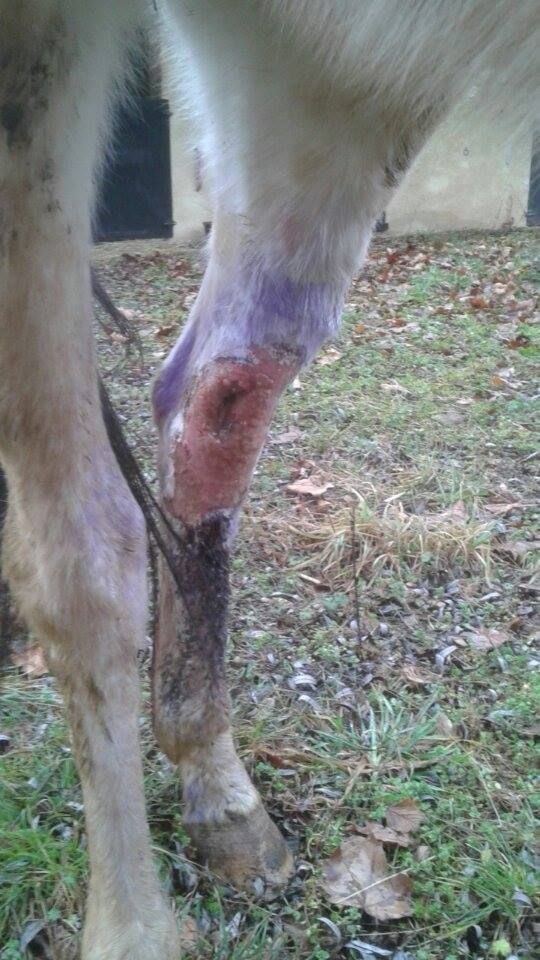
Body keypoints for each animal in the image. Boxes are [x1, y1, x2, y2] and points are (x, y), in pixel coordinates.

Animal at [1, 2, 538, 957]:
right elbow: (79, 558)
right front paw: (130, 930)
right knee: (88, 532)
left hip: (339, 68)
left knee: (220, 385)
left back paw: (215, 783)